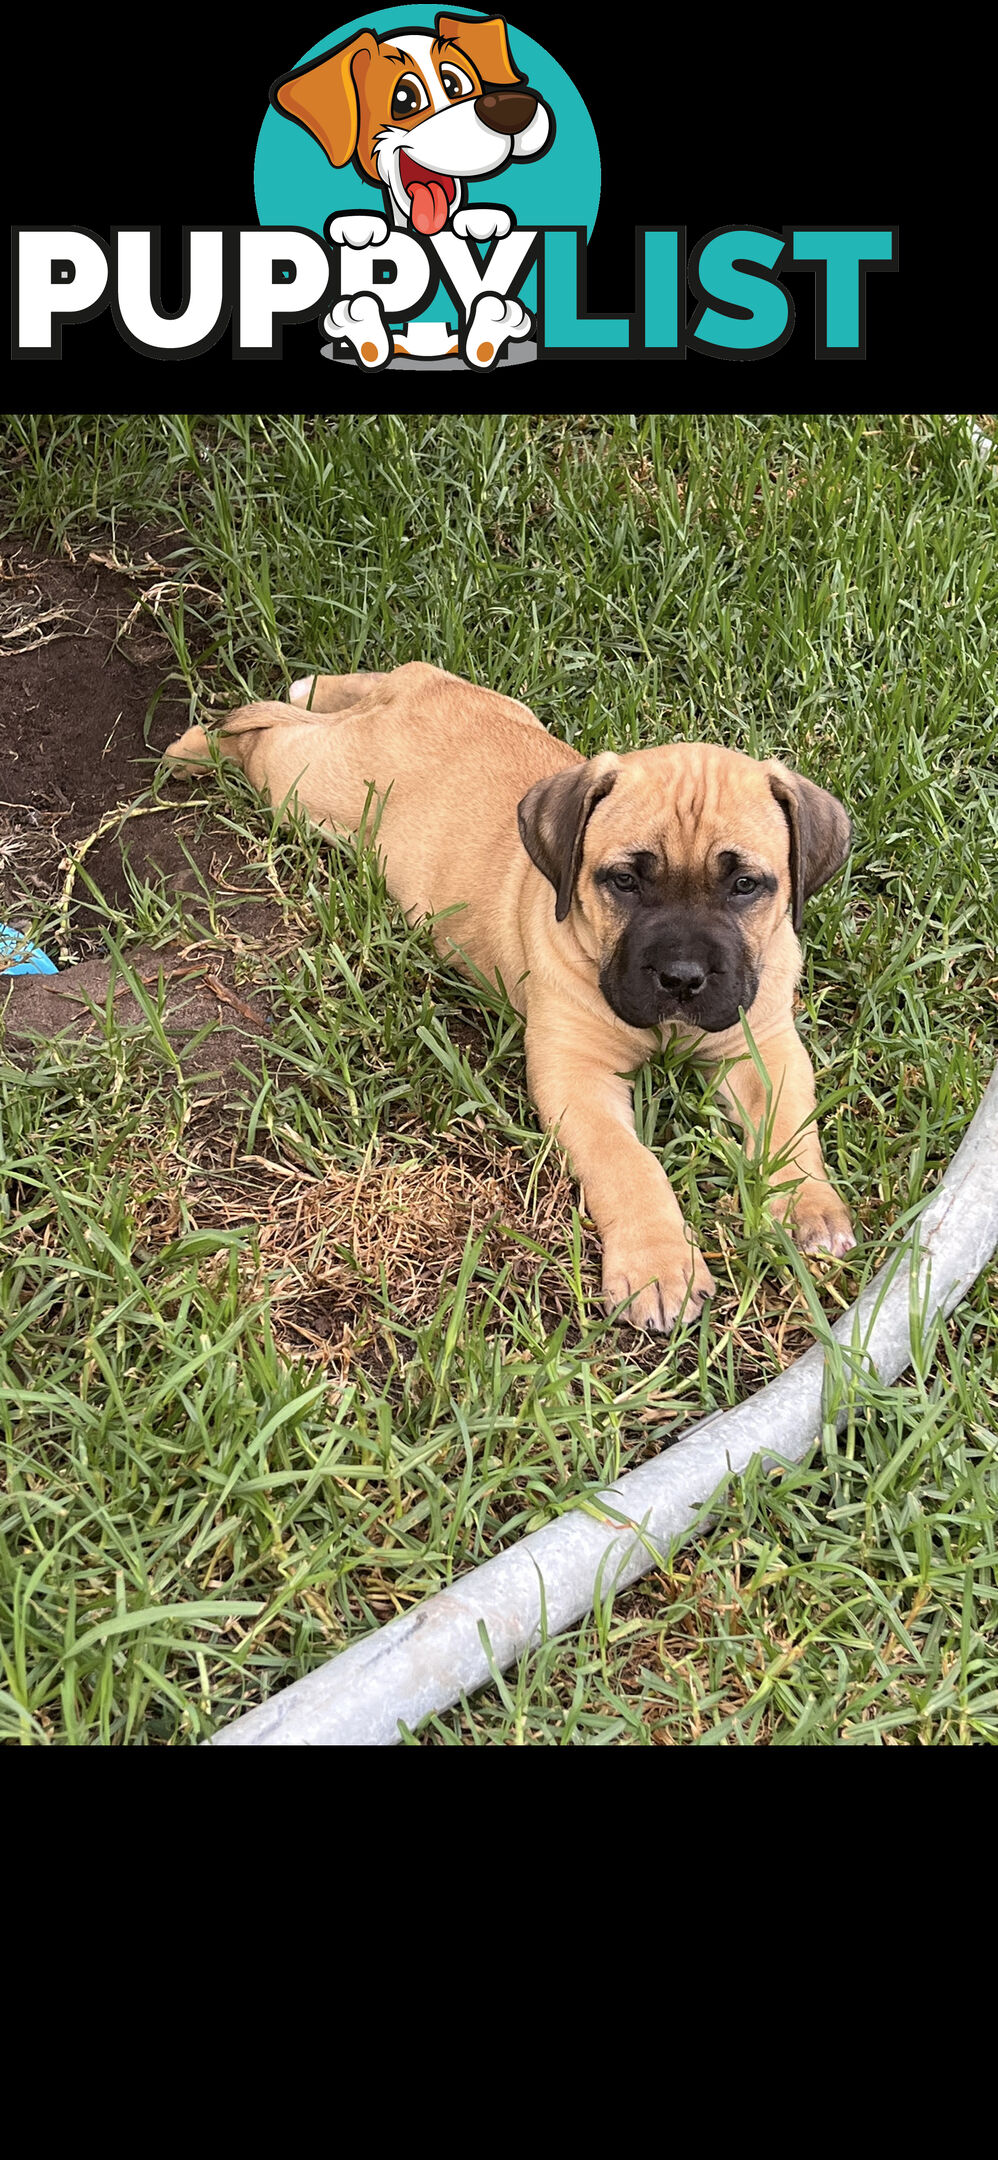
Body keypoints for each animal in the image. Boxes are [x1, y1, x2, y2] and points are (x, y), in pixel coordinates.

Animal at [167, 660, 855, 1330]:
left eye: (745, 885)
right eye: (624, 882)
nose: (682, 978)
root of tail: (397, 706)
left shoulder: (764, 1045)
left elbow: (791, 1123)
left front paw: (807, 1207)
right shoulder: (575, 1074)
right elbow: (630, 1165)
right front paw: (660, 1268)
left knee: (382, 677)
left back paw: (314, 687)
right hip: (302, 787)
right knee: (262, 739)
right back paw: (193, 746)